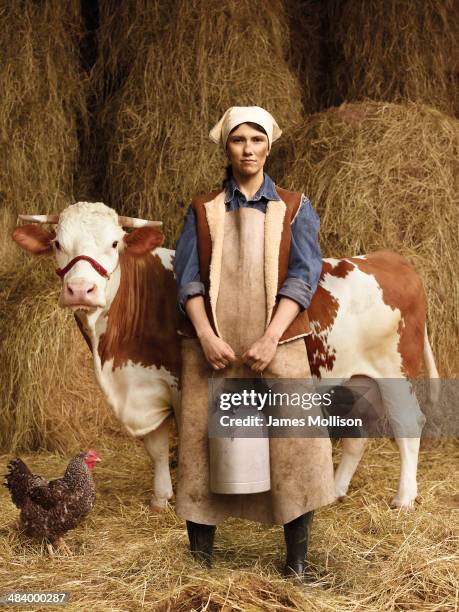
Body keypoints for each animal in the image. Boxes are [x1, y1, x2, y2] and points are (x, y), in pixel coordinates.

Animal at [12, 202, 440, 512]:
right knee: (357, 435)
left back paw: (404, 498)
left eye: (114, 243)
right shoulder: (143, 383)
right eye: (57, 244)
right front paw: (161, 497)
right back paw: (334, 490)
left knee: (409, 427)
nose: (80, 289)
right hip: (356, 380)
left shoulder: (182, 383)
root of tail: (389, 259)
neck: (116, 355)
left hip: (396, 373)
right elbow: (156, 447)